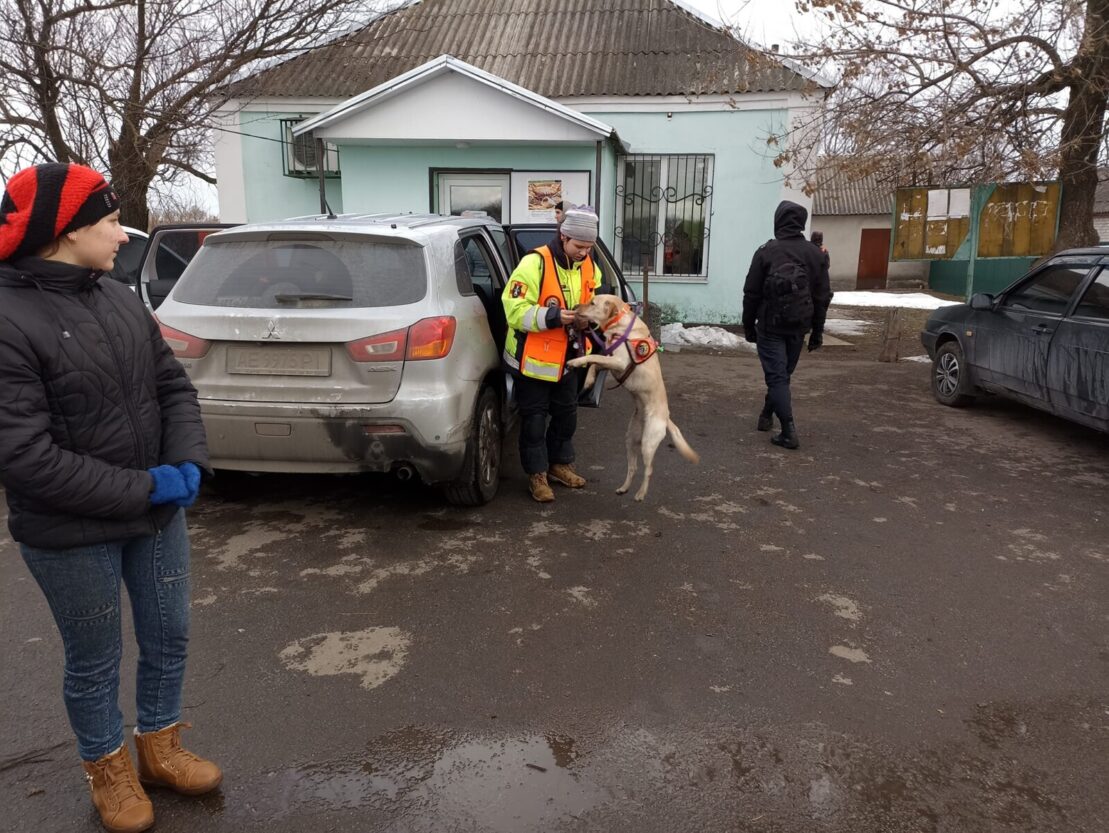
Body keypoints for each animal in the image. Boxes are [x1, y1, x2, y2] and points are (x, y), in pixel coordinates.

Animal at [567, 295, 696, 501]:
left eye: (593, 303)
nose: (575, 306)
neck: (619, 323)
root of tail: (666, 418)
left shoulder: (619, 362)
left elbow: (593, 357)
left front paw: (575, 362)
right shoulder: (611, 361)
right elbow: (595, 363)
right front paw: (588, 381)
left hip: (648, 444)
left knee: (649, 469)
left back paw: (640, 494)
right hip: (630, 440)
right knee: (632, 467)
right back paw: (624, 488)